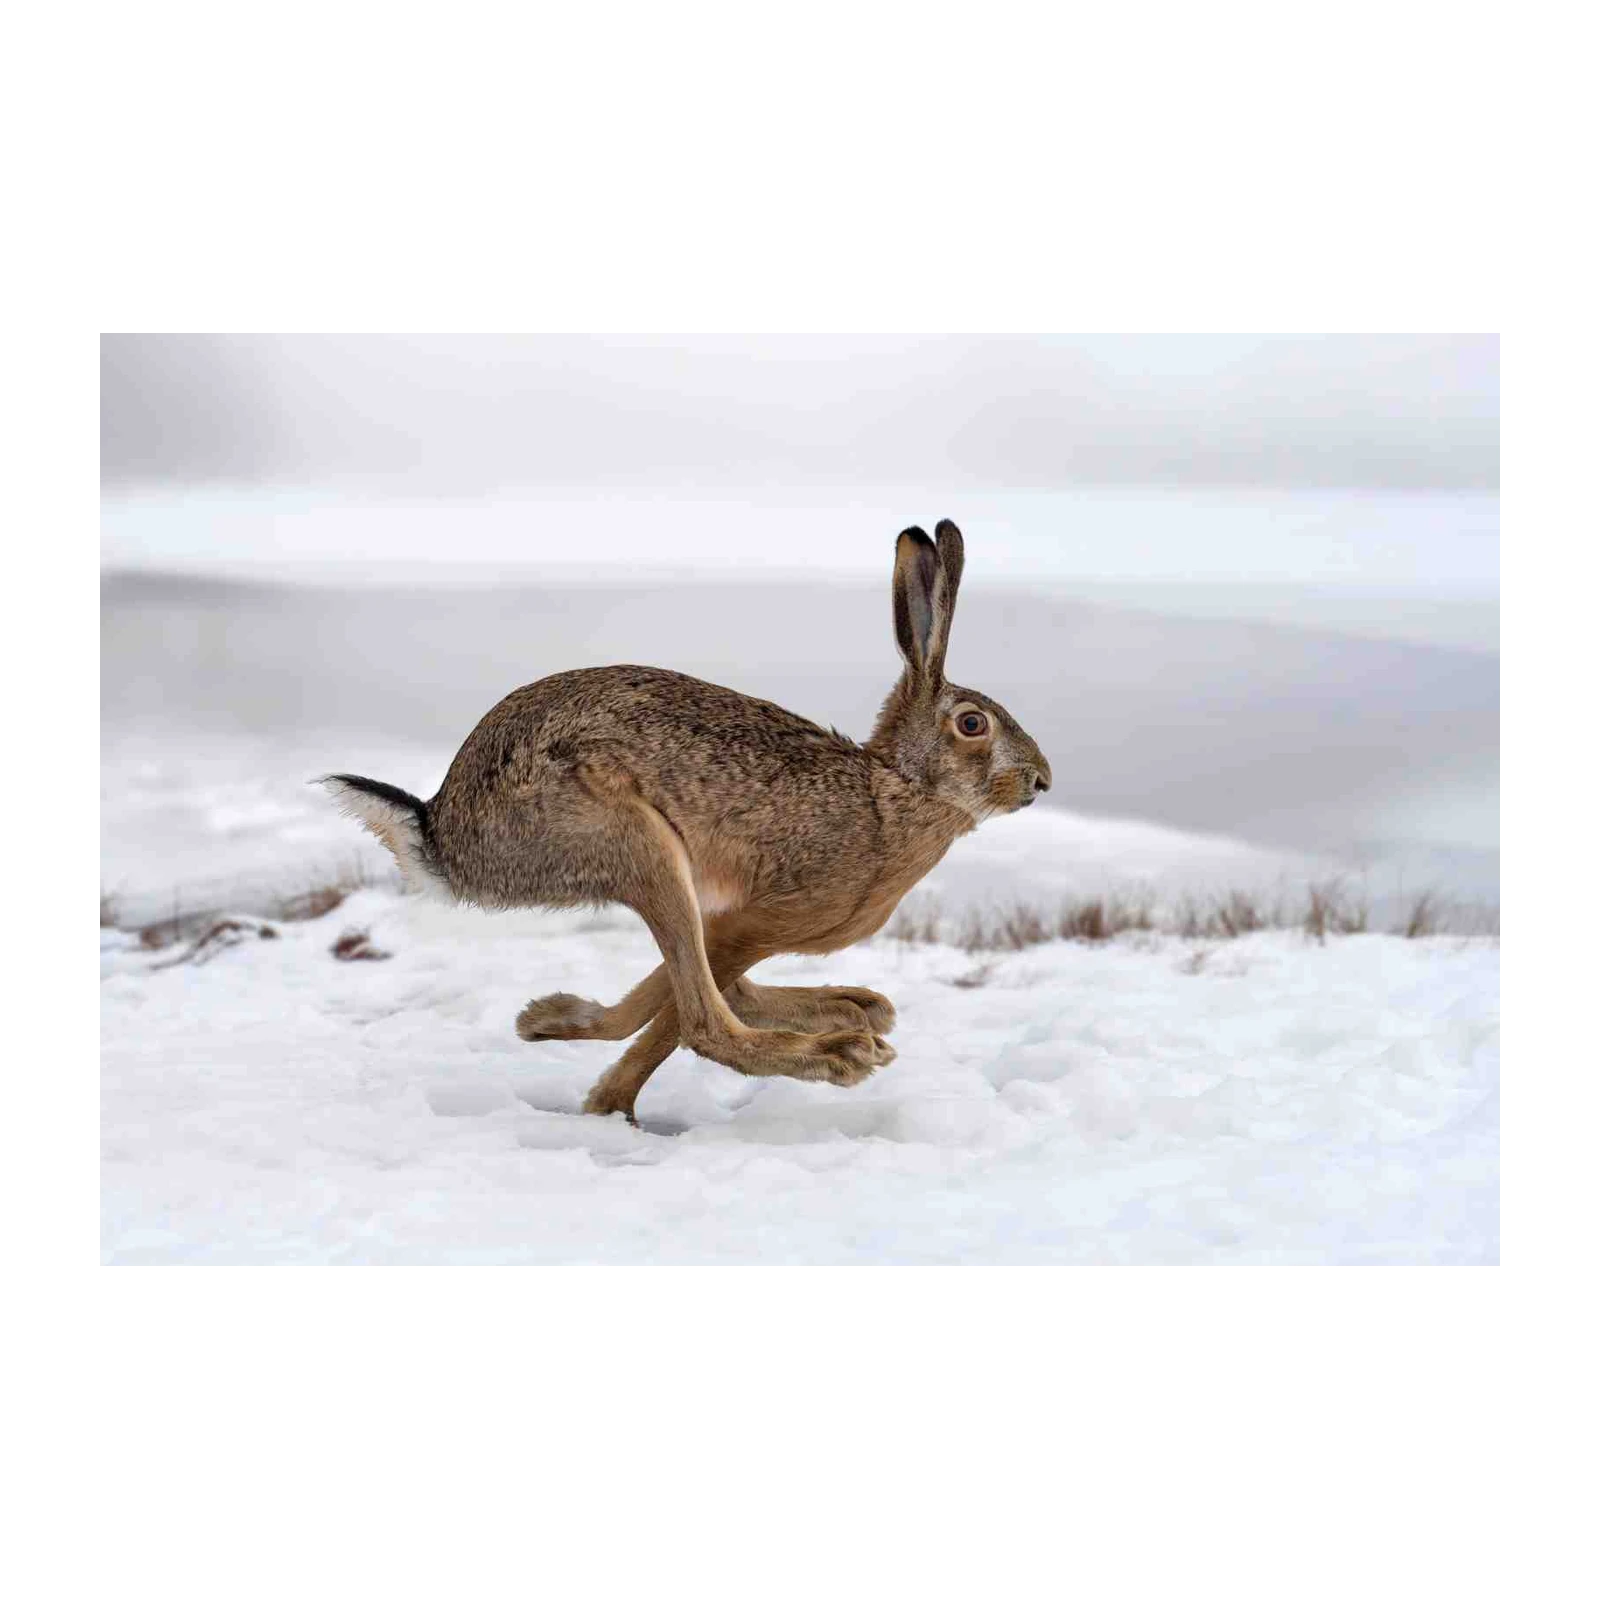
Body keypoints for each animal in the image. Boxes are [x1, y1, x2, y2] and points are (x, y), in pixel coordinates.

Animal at [320, 520, 1051, 1121]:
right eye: (973, 725)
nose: (1042, 782)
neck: (892, 790)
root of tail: (444, 836)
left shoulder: (733, 921)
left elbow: (665, 1001)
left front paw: (567, 1042)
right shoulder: (759, 918)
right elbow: (675, 1019)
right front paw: (603, 1095)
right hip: (636, 844)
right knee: (705, 1021)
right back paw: (839, 1047)